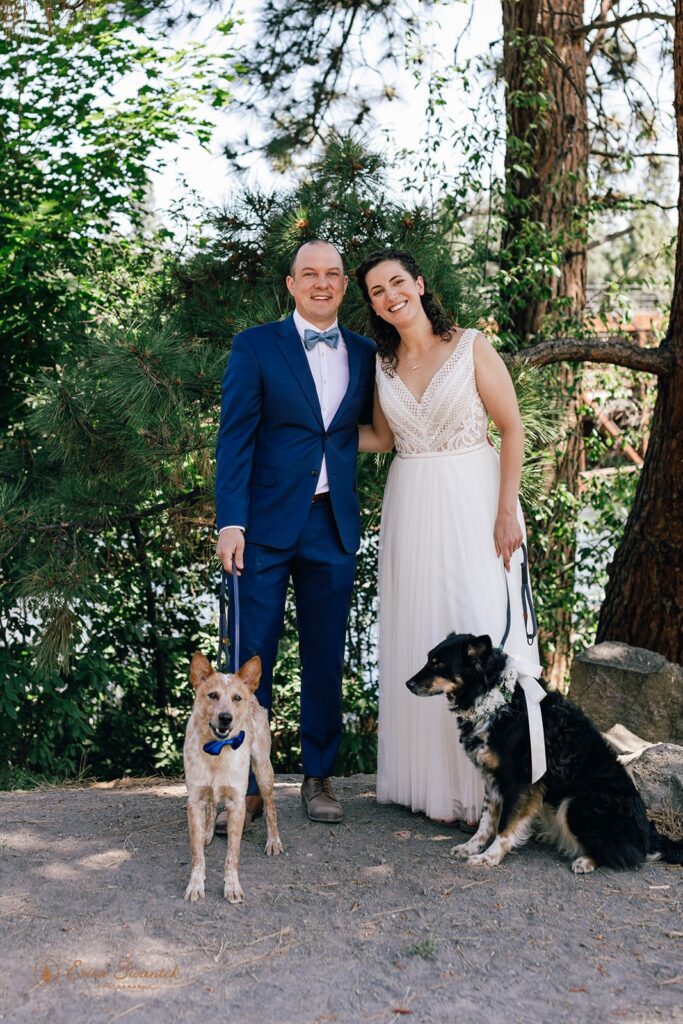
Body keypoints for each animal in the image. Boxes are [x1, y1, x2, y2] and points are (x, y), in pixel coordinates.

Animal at [181, 655, 282, 905]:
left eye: (236, 698)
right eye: (212, 695)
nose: (225, 718)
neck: (217, 750)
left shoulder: (237, 803)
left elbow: (232, 855)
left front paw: (232, 886)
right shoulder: (194, 801)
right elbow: (197, 854)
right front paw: (195, 884)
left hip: (263, 770)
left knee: (271, 808)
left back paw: (274, 841)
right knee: (210, 808)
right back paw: (207, 833)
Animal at [405, 634, 683, 876]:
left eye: (439, 663)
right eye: (429, 659)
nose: (408, 684)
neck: (494, 697)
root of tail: (650, 832)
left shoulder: (519, 781)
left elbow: (505, 824)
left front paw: (490, 856)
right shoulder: (492, 779)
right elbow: (485, 821)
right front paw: (472, 847)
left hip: (577, 801)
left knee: (623, 853)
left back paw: (585, 860)